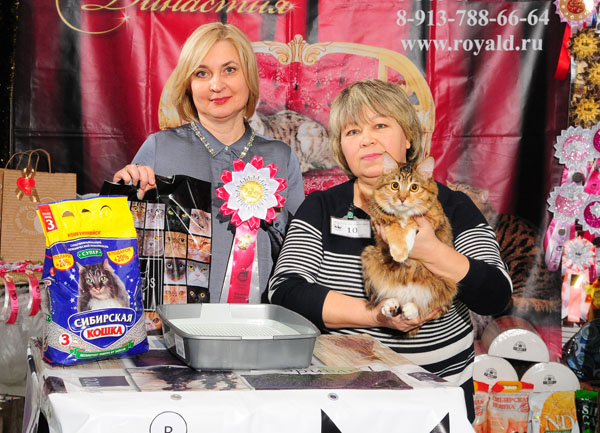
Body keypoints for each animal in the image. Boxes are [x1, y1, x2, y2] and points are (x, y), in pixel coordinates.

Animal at [361, 154, 457, 336]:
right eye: (395, 185)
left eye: (414, 187)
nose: (402, 199)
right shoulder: (377, 218)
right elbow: (393, 222)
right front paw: (399, 250)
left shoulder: (434, 217)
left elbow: (411, 220)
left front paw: (403, 248)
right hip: (369, 255)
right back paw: (390, 305)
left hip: (447, 282)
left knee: (428, 307)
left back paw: (411, 309)